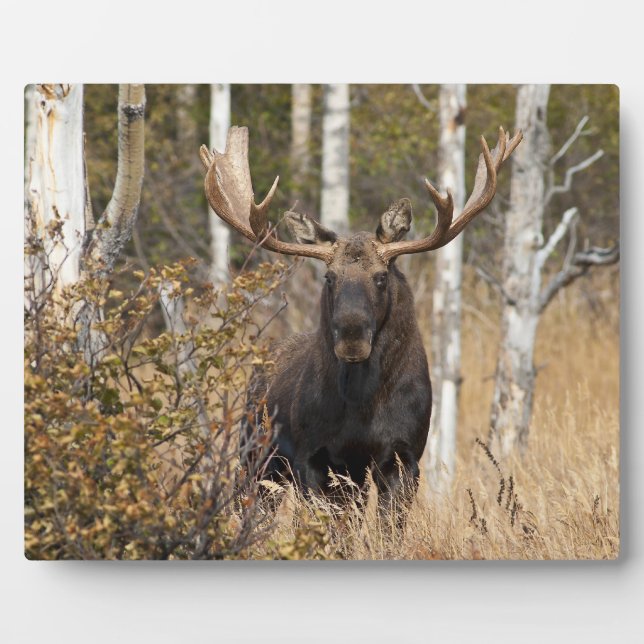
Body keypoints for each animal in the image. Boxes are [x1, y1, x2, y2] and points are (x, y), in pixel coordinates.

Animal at [199, 125, 522, 520]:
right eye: (329, 277)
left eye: (381, 276)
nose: (352, 337)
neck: (363, 407)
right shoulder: (316, 459)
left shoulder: (404, 456)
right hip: (255, 455)